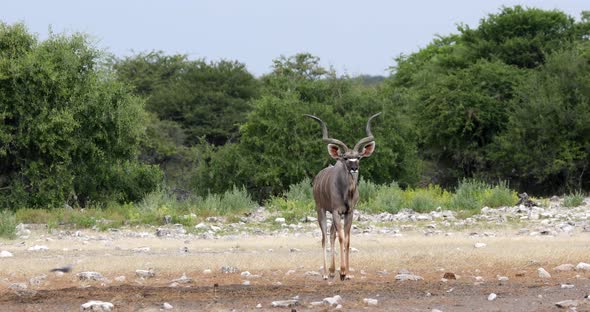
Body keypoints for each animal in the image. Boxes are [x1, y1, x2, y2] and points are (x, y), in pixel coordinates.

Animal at [306, 112, 384, 280]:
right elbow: (341, 237)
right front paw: (342, 271)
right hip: (320, 210)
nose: (354, 168)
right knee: (324, 237)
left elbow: (347, 239)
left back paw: (331, 271)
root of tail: (317, 179)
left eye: (358, 157)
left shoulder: (349, 212)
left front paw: (346, 273)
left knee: (332, 234)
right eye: (346, 158)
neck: (346, 193)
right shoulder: (336, 211)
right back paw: (325, 274)